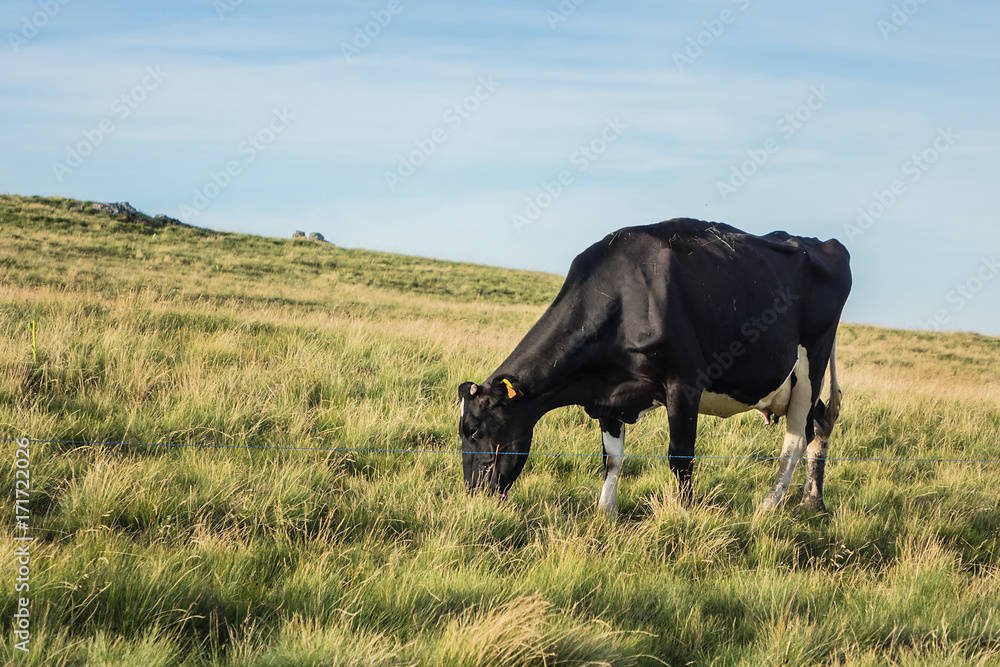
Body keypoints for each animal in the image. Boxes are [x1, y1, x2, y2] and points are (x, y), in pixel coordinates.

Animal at [458, 218, 852, 513]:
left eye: (474, 430)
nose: (472, 494)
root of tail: (823, 243)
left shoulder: (685, 383)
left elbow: (680, 457)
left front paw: (683, 515)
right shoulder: (608, 395)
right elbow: (612, 459)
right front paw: (605, 513)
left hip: (811, 363)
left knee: (796, 439)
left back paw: (770, 505)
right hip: (797, 382)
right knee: (820, 424)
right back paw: (812, 502)